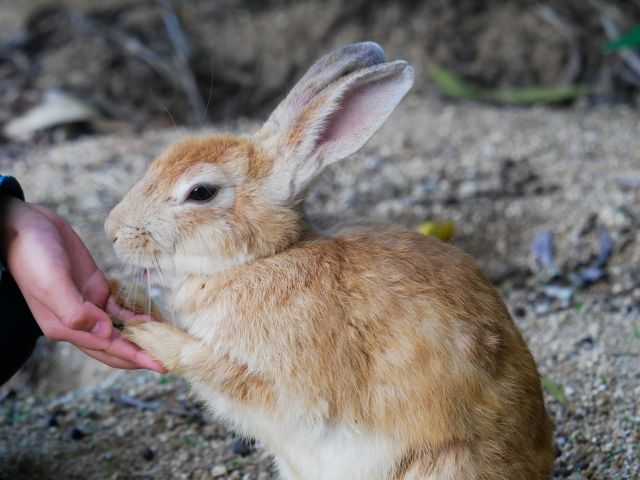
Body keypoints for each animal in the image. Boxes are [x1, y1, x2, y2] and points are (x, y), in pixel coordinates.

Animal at [106, 43, 556, 478]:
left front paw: (146, 332)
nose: (112, 231)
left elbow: (207, 365)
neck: (263, 259)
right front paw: (122, 294)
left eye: (201, 192)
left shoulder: (279, 382)